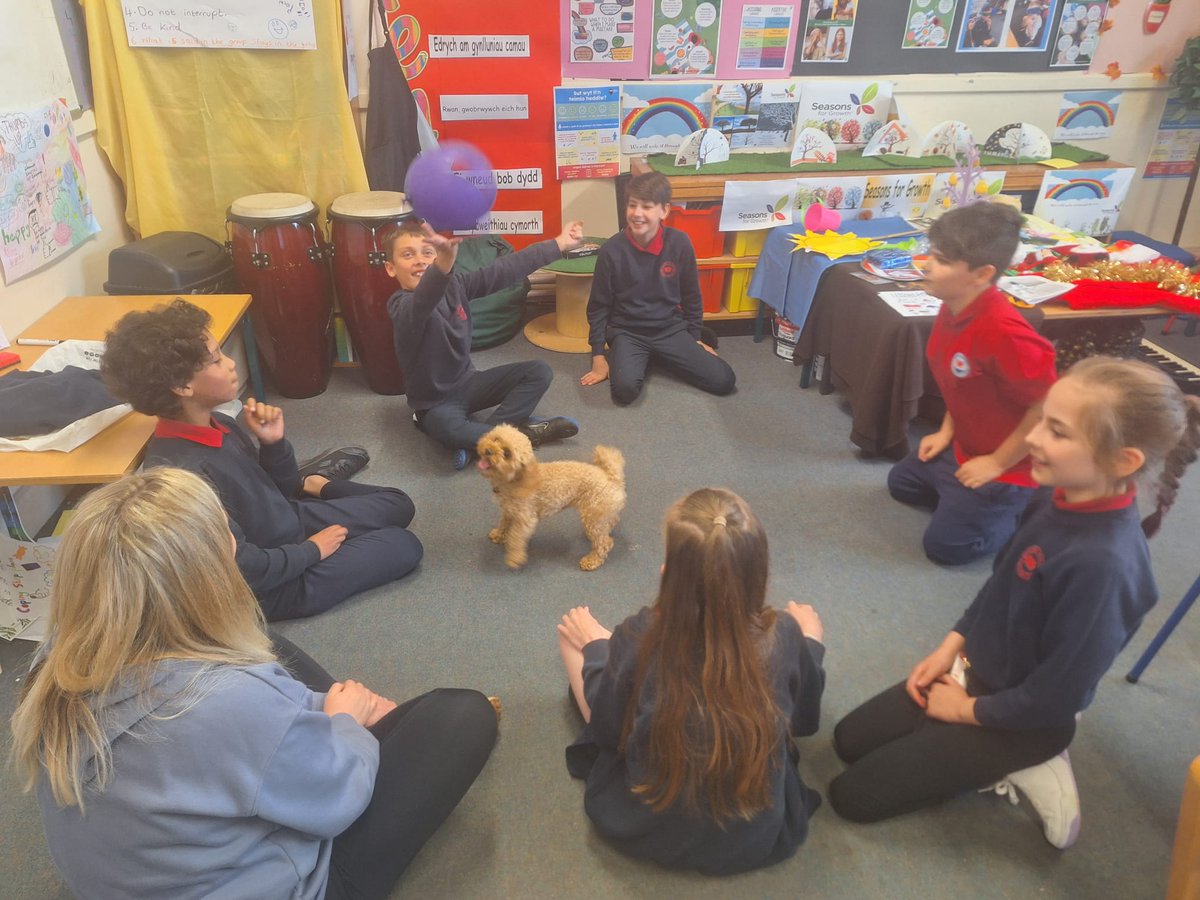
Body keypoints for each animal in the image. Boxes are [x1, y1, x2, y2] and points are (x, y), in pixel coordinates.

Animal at [475, 424, 624, 571]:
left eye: (507, 454)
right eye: (496, 439)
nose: (488, 450)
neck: (515, 480)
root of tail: (610, 477)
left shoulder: (526, 519)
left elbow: (516, 538)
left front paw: (514, 558)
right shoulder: (509, 511)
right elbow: (503, 523)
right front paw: (499, 535)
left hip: (592, 516)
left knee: (605, 543)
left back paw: (591, 560)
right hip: (598, 514)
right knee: (612, 521)